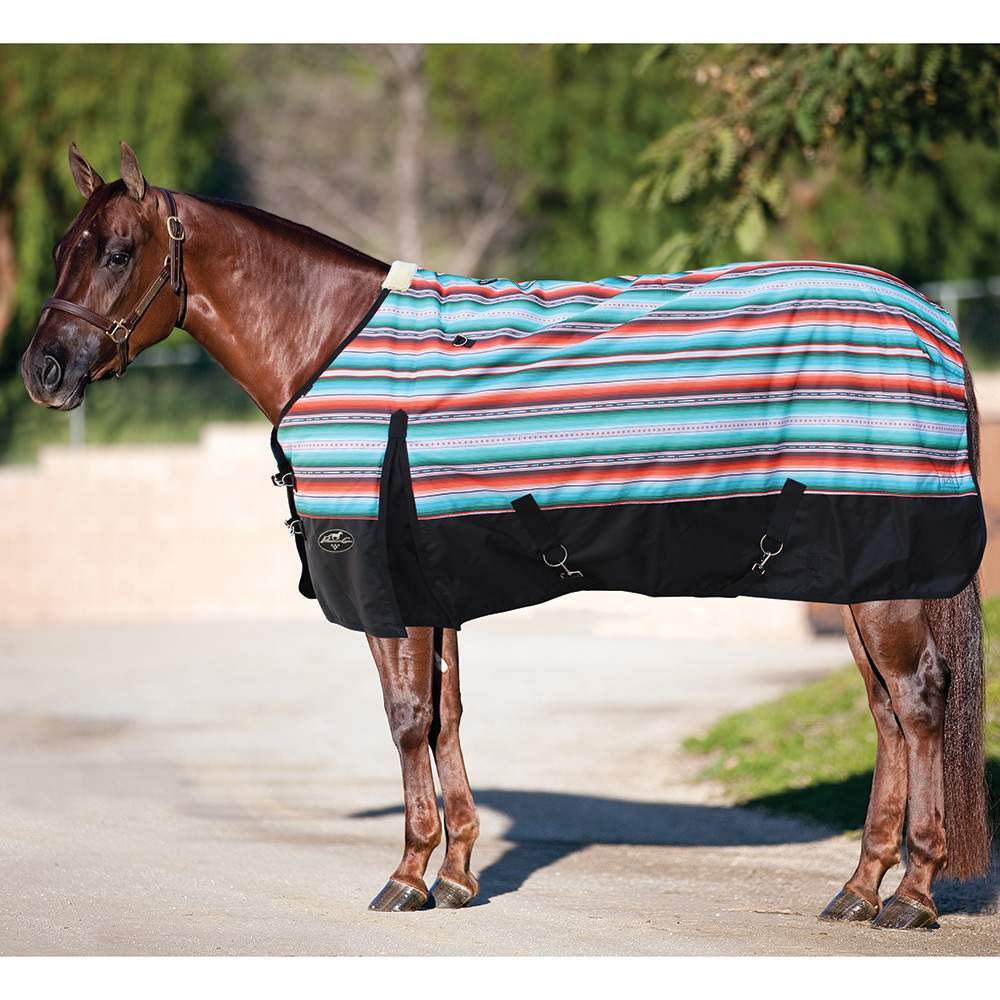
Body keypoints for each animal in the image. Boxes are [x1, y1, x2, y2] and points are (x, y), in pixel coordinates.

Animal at [19, 142, 991, 930]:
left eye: (116, 252)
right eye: (63, 248)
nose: (44, 372)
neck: (332, 345)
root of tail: (931, 326)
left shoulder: (386, 591)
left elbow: (406, 719)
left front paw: (406, 878)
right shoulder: (435, 592)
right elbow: (445, 718)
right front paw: (455, 877)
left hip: (882, 577)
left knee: (916, 702)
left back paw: (910, 896)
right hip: (853, 578)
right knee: (887, 713)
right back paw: (858, 891)